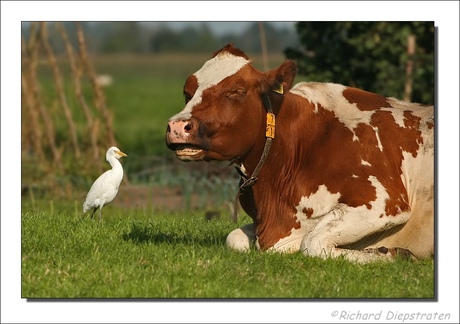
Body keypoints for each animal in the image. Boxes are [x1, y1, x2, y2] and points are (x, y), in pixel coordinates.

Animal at [165, 43, 434, 264]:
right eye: (187, 92)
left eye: (236, 91)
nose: (178, 126)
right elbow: (234, 238)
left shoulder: (385, 201)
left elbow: (312, 243)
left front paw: (392, 255)